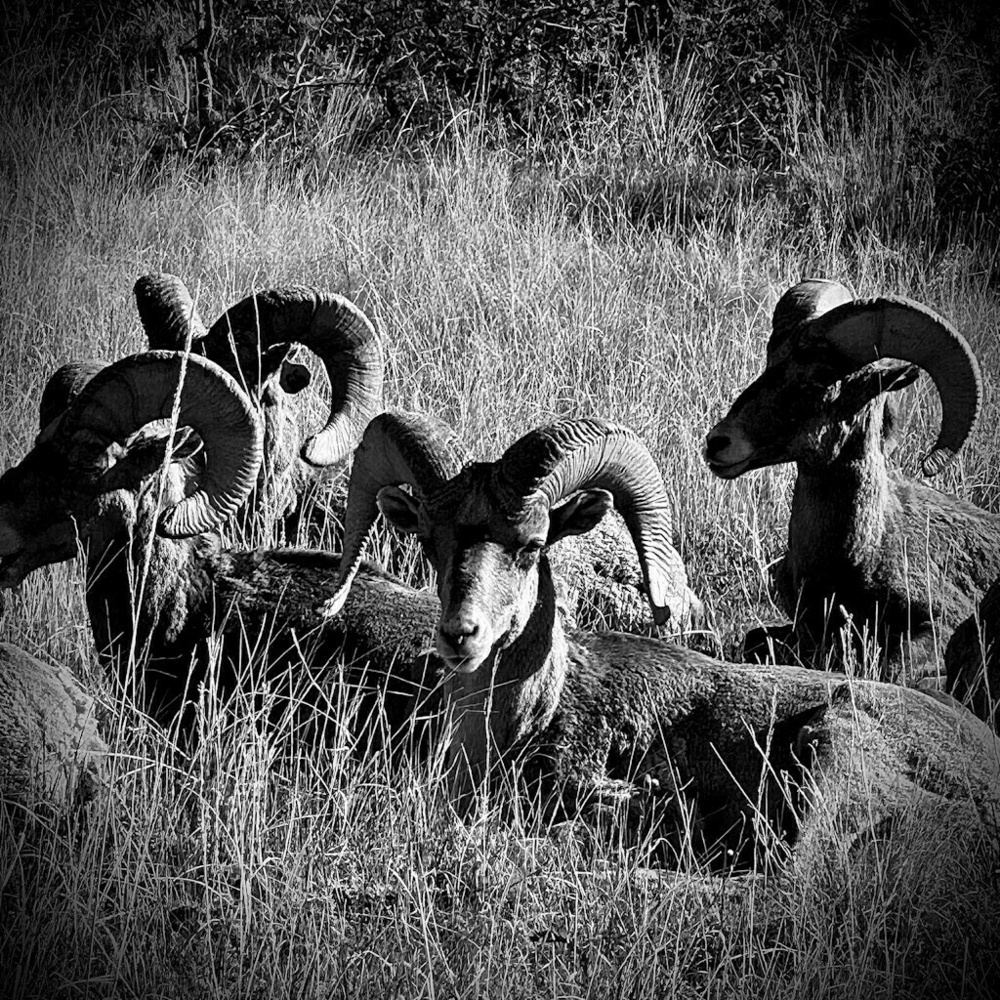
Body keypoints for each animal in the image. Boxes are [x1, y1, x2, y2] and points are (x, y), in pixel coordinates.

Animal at [704, 278, 1000, 692]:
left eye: (820, 380)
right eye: (771, 362)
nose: (718, 442)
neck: (859, 554)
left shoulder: (938, 626)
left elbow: (894, 668)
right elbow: (755, 640)